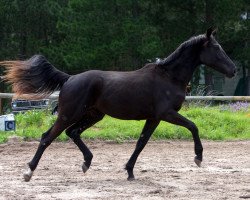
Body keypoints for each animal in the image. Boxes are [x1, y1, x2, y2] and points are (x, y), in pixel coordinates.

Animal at [0, 28, 235, 181]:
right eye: (216, 48)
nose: (233, 69)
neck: (169, 77)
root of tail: (70, 79)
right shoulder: (166, 113)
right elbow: (193, 126)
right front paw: (198, 157)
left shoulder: (153, 118)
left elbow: (141, 143)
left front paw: (129, 171)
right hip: (69, 113)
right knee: (47, 137)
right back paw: (29, 172)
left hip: (94, 115)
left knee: (72, 133)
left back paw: (87, 162)